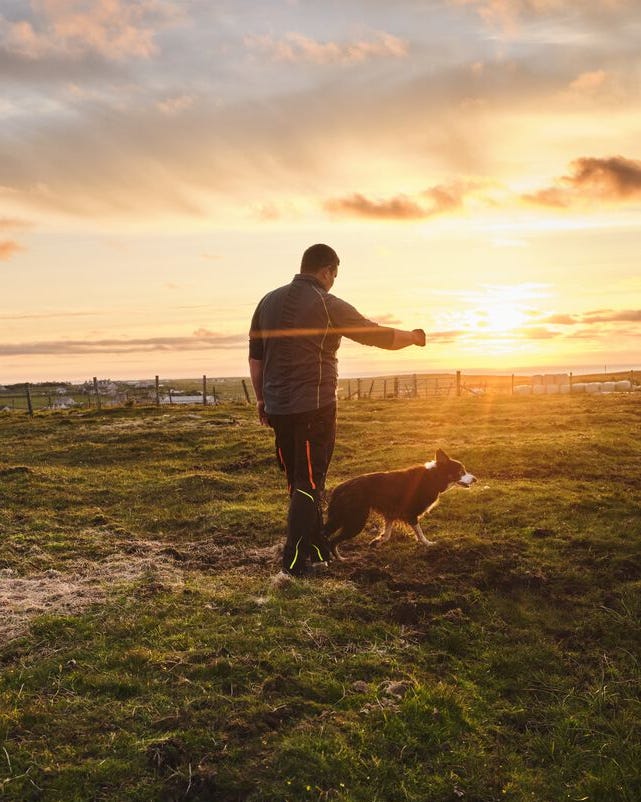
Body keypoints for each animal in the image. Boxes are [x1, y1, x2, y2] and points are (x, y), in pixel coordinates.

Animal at [324, 446, 476, 560]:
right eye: (461, 471)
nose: (475, 479)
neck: (434, 477)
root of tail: (339, 488)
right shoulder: (410, 514)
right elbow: (420, 533)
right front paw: (429, 544)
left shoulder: (391, 513)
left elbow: (387, 534)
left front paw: (377, 541)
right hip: (356, 520)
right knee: (332, 541)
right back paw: (341, 559)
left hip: (340, 518)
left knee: (326, 535)